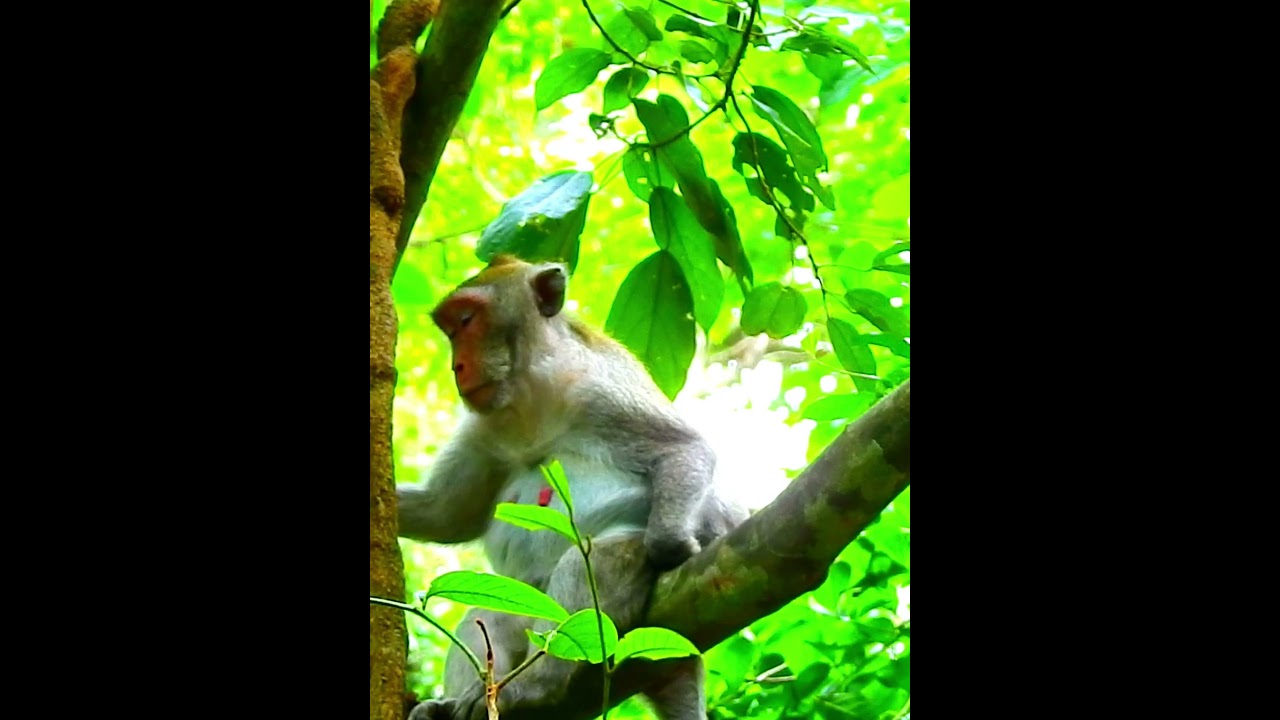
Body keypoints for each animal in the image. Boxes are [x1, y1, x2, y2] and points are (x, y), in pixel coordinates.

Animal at [397, 254, 747, 720]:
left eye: (468, 320)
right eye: (450, 330)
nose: (458, 367)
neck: (532, 399)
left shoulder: (602, 390)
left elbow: (684, 449)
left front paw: (672, 544)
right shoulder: (483, 429)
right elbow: (445, 515)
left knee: (594, 563)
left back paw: (535, 686)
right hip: (526, 604)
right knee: (487, 617)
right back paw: (468, 698)